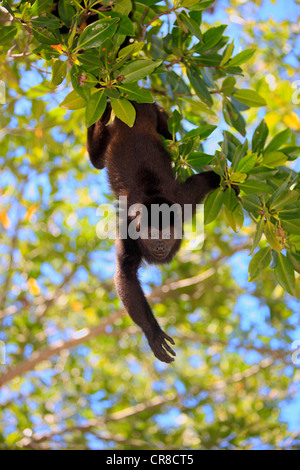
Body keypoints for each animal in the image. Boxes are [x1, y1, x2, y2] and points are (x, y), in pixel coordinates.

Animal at [85, 101, 221, 362]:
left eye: (166, 235)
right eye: (150, 236)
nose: (159, 246)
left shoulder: (183, 202)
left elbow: (205, 181)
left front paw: (227, 182)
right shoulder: (129, 232)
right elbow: (126, 274)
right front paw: (153, 332)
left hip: (155, 113)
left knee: (170, 133)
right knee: (96, 160)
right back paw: (103, 112)